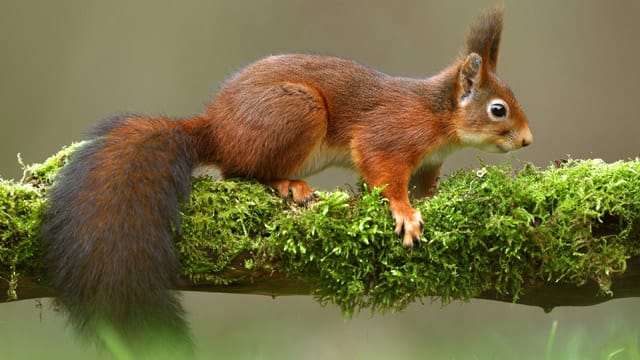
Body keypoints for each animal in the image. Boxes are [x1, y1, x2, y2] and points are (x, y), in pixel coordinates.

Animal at [40, 5, 528, 354]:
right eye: (497, 109)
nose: (527, 140)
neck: (438, 116)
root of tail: (214, 127)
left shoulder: (430, 159)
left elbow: (427, 182)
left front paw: (430, 195)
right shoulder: (388, 136)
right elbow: (384, 175)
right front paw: (405, 212)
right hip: (297, 110)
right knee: (238, 170)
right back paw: (287, 184)